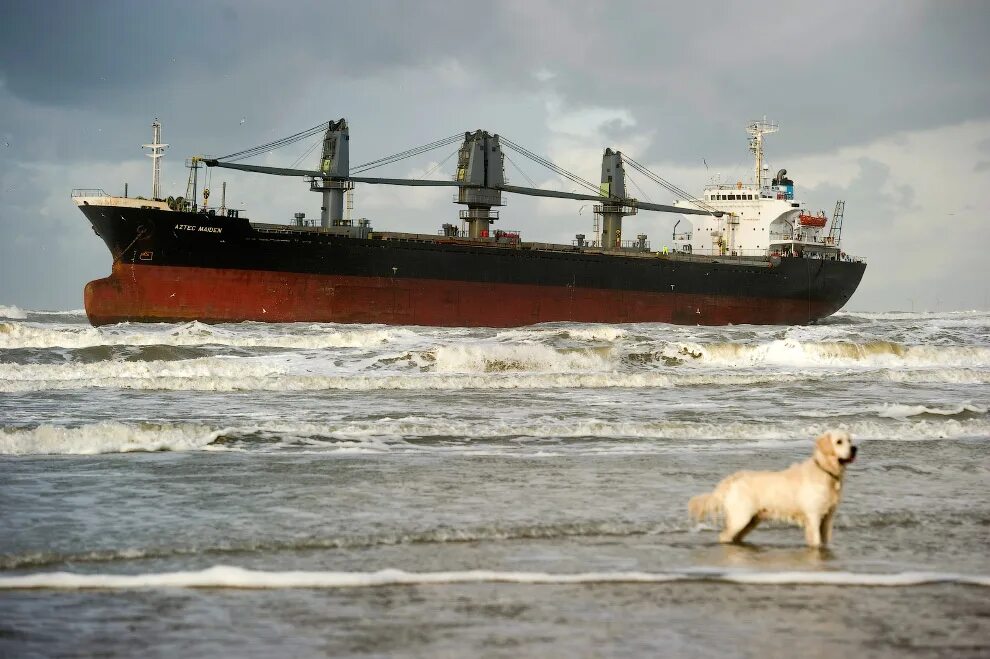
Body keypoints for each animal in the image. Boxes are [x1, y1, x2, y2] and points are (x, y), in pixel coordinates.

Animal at [688, 430, 860, 548]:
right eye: (839, 442)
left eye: (849, 440)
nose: (854, 448)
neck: (825, 471)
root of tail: (733, 478)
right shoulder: (813, 516)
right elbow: (816, 541)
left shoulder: (828, 517)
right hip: (741, 517)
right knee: (724, 536)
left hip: (751, 520)